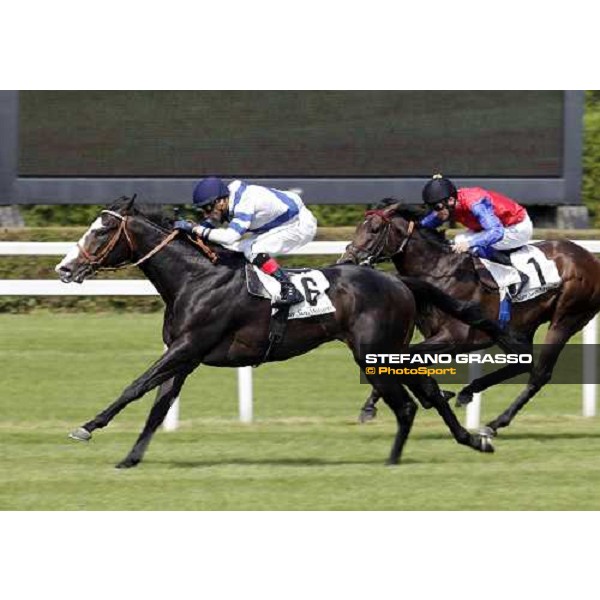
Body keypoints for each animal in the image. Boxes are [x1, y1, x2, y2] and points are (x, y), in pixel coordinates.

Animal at [55, 197, 506, 468]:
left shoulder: (186, 347)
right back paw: (470, 440)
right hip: (390, 350)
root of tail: (398, 281)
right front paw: (130, 457)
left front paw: (87, 427)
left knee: (409, 404)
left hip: (373, 353)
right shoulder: (185, 356)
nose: (64, 267)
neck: (195, 278)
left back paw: (397, 458)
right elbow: (158, 406)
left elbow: (136, 386)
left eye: (100, 231)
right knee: (426, 393)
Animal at [340, 204, 600, 434]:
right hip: (520, 328)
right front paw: (372, 405)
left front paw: (431, 395)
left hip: (566, 318)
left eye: (374, 229)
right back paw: (469, 391)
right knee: (523, 362)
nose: (347, 261)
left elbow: (404, 358)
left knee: (540, 374)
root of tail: (591, 259)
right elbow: (396, 359)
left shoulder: (455, 338)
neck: (438, 271)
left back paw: (495, 423)